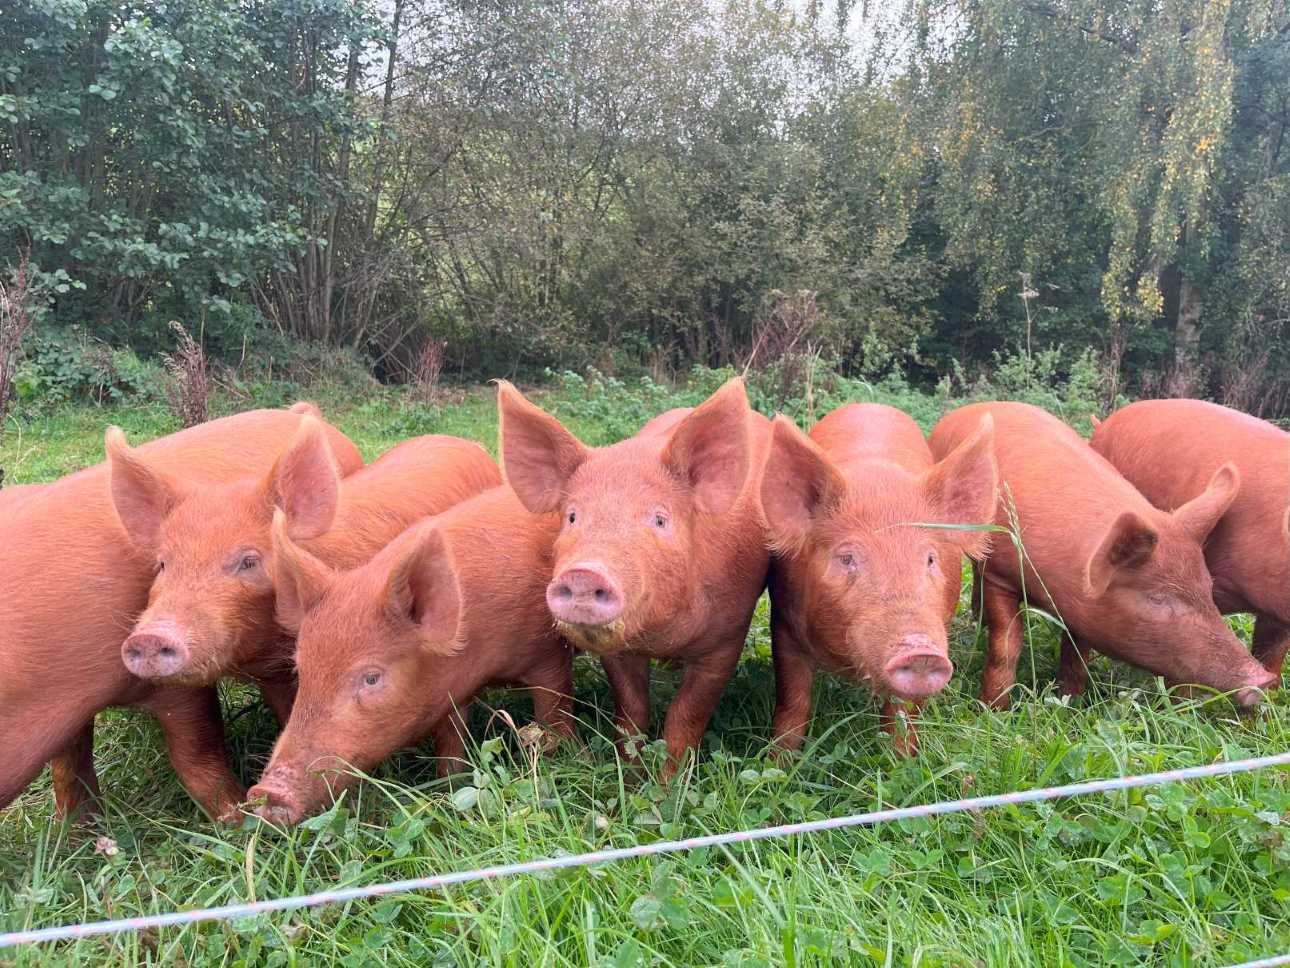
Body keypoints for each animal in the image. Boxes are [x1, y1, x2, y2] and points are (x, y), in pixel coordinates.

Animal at [0, 404, 364, 820]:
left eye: (249, 561)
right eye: (160, 564)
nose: (149, 636)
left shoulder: (181, 689)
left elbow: (196, 759)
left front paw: (236, 821)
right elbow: (69, 767)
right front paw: (78, 831)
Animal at [246, 487, 574, 825]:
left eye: (372, 678)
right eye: (301, 670)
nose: (266, 792)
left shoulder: (546, 653)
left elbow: (553, 711)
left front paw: (562, 757)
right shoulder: (448, 689)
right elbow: (450, 738)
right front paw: (448, 783)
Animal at [496, 377, 770, 775]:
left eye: (659, 519)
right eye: (572, 516)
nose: (584, 572)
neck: (661, 634)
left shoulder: (727, 637)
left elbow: (686, 713)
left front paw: (670, 782)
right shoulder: (616, 651)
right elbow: (631, 710)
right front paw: (631, 773)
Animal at [760, 404, 997, 755]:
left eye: (930, 559)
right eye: (847, 558)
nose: (920, 651)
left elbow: (903, 714)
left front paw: (902, 760)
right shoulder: (784, 621)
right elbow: (793, 701)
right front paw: (779, 760)